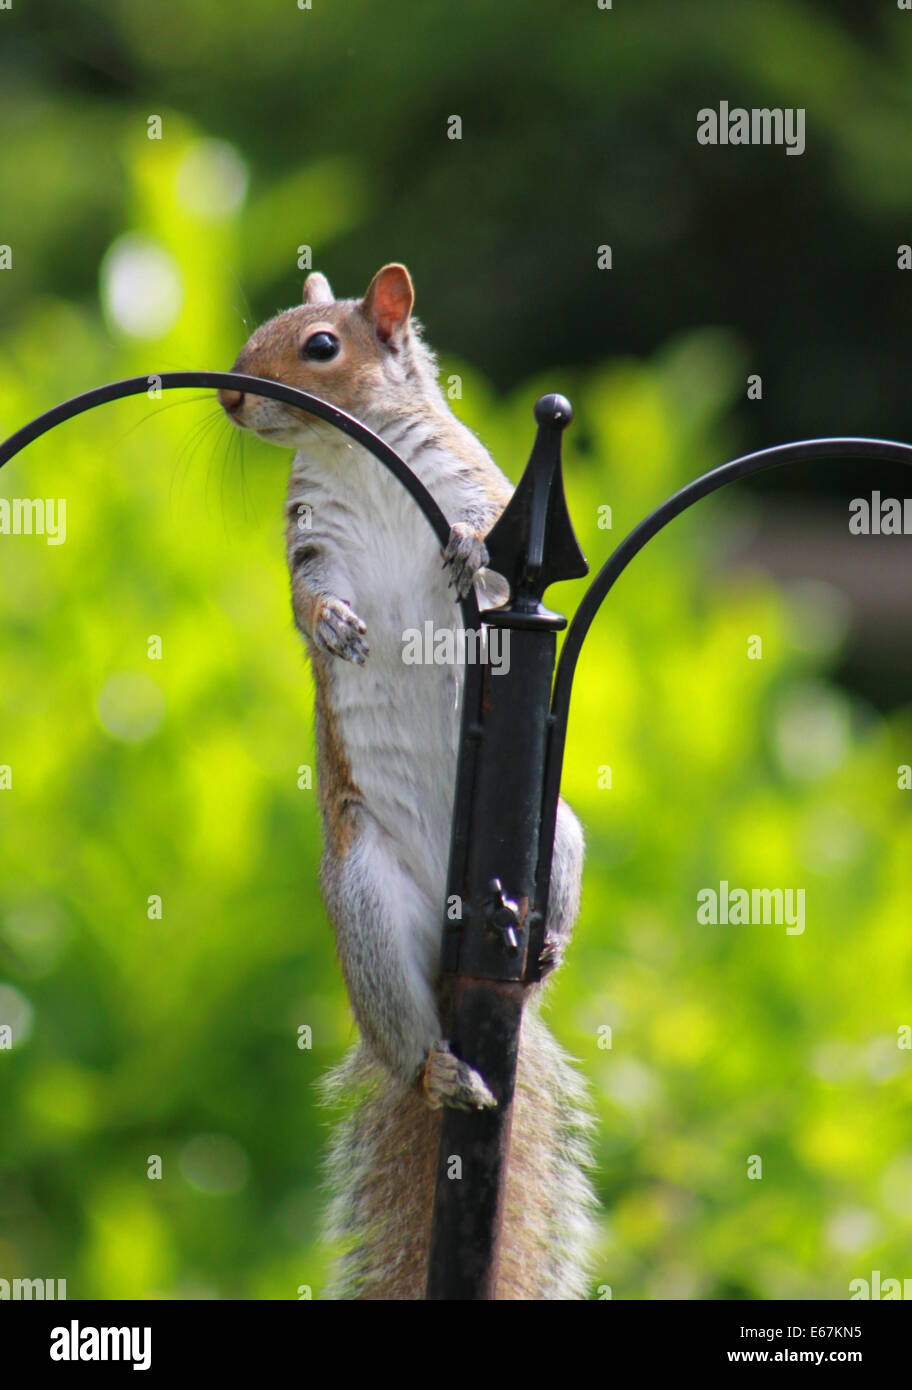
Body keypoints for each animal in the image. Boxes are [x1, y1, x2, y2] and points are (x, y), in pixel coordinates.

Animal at [218, 264, 596, 1299]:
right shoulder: (311, 539)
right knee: (408, 1038)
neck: (356, 459)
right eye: (257, 333)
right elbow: (308, 597)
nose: (232, 395)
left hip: (557, 833)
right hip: (368, 904)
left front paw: (465, 548)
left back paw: (545, 943)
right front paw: (335, 626)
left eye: (320, 346)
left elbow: (490, 561)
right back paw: (439, 1072)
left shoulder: (477, 484)